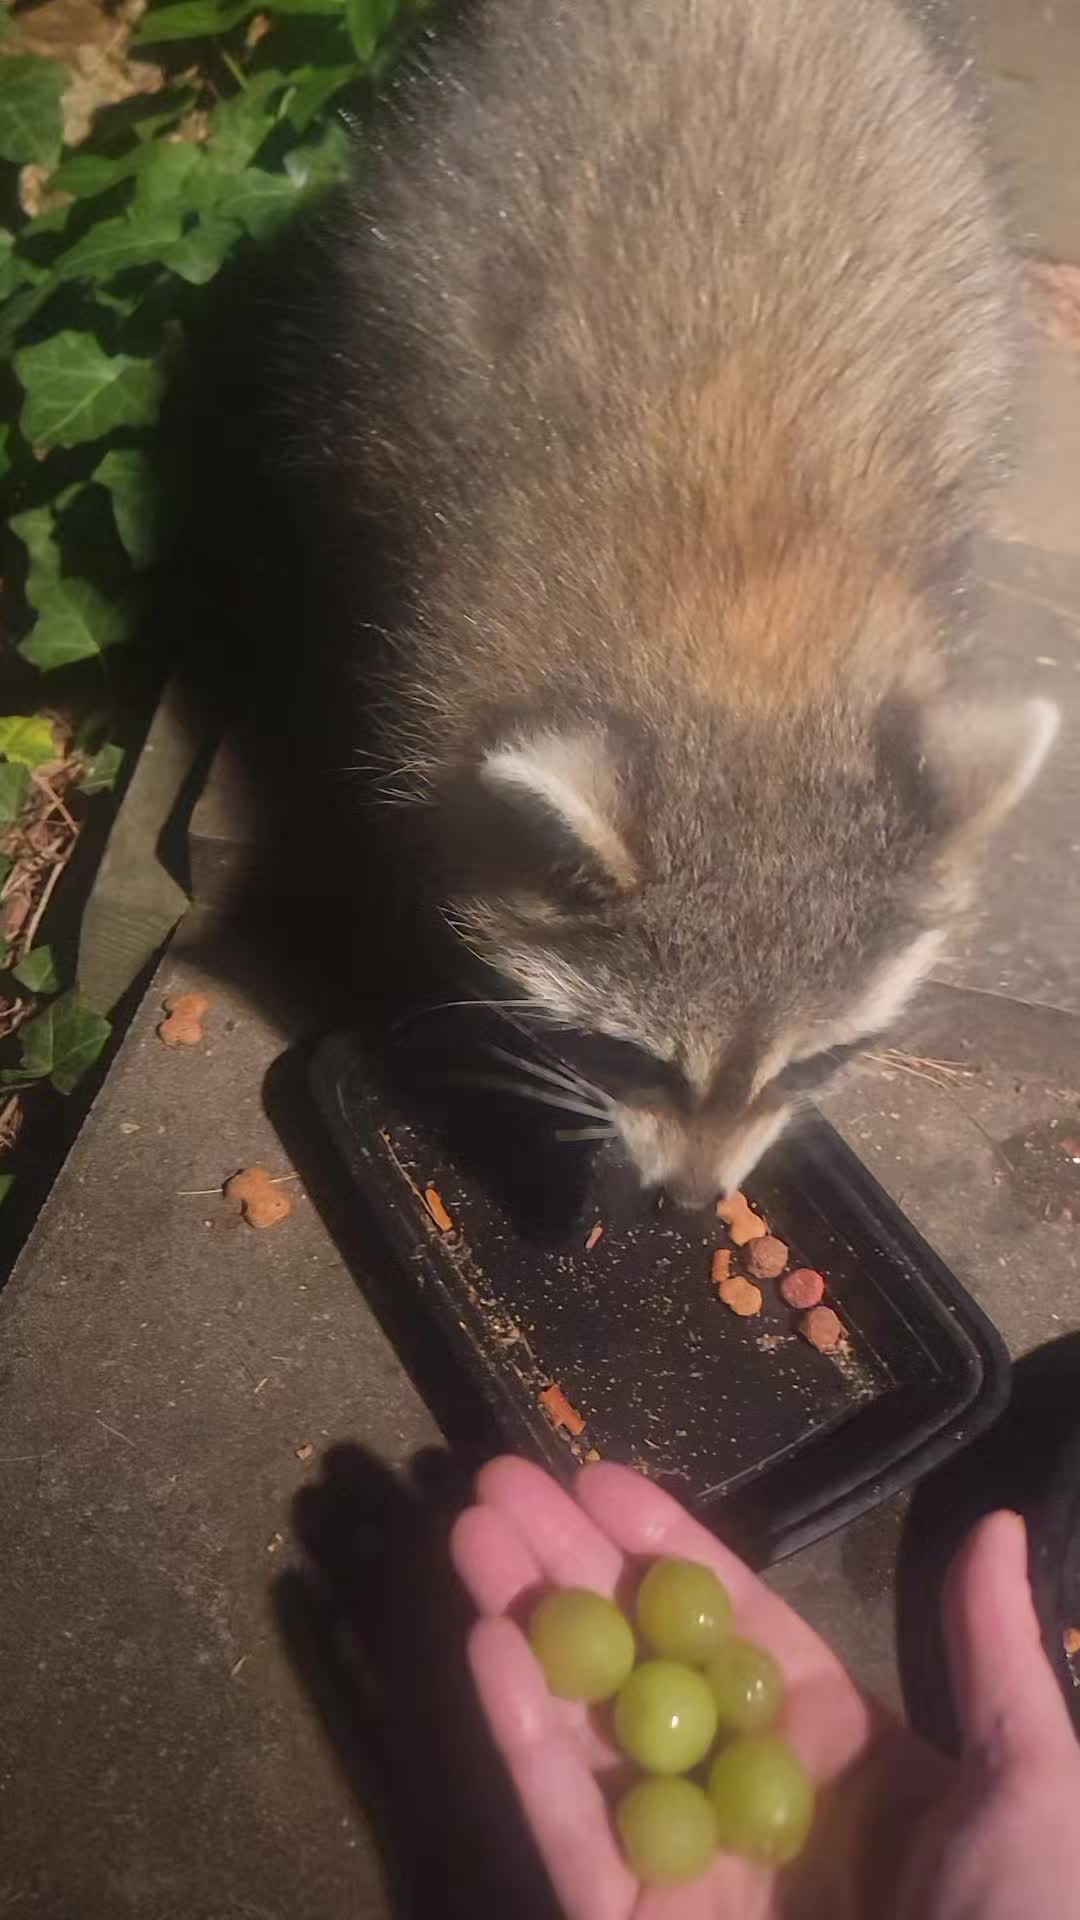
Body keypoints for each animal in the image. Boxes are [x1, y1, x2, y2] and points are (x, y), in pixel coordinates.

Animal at [316, 0, 1058, 1206]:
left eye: (814, 1062)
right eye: (635, 1056)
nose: (693, 1202)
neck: (740, 637)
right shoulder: (439, 634)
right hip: (424, 205)